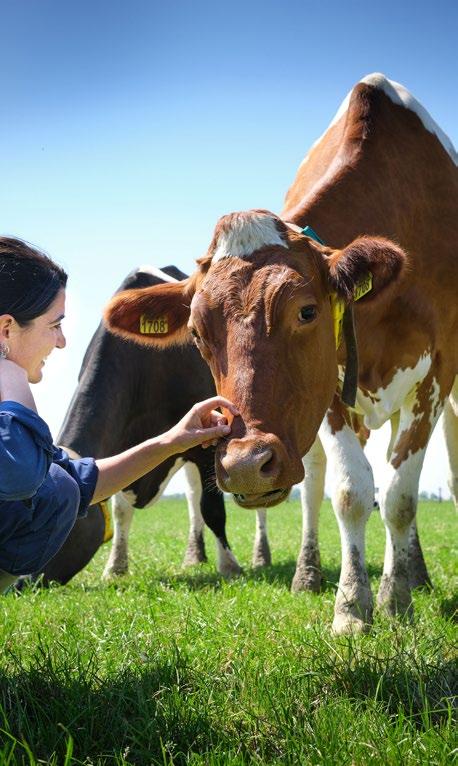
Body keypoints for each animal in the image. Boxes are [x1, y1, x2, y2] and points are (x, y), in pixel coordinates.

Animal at [104, 73, 458, 633]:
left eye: (307, 311)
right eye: (197, 333)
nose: (246, 465)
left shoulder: (438, 373)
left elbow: (401, 497)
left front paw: (395, 596)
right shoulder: (330, 391)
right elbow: (351, 492)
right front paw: (351, 606)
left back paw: (414, 573)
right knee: (316, 485)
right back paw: (310, 574)